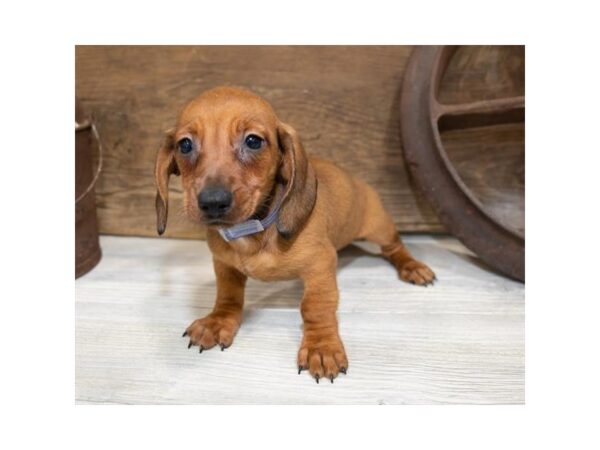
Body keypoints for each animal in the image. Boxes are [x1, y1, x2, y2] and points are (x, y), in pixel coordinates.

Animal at [155, 86, 436, 382]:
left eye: (253, 141)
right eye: (185, 145)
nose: (213, 202)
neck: (254, 230)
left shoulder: (321, 266)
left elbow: (314, 306)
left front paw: (321, 347)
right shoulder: (224, 265)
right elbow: (228, 295)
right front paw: (218, 321)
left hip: (378, 226)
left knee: (394, 247)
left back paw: (413, 267)